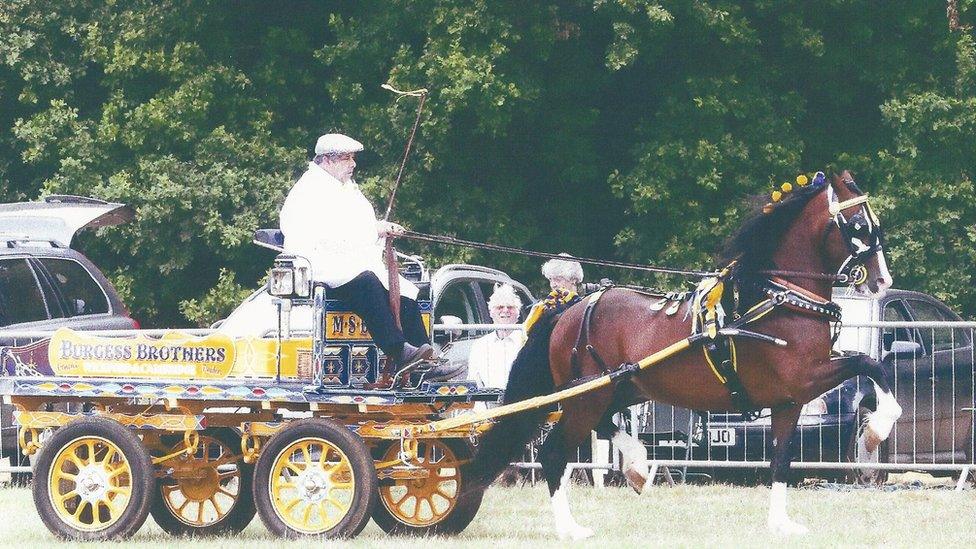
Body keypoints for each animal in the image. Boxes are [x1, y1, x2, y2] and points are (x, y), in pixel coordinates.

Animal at [466, 169, 900, 536]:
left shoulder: (789, 400)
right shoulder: (806, 378)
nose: (882, 281)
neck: (779, 299)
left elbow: (780, 459)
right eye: (859, 225)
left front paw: (780, 524)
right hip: (587, 396)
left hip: (619, 388)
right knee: (554, 453)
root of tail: (568, 308)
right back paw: (571, 528)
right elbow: (869, 364)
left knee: (604, 425)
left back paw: (637, 465)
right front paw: (875, 433)